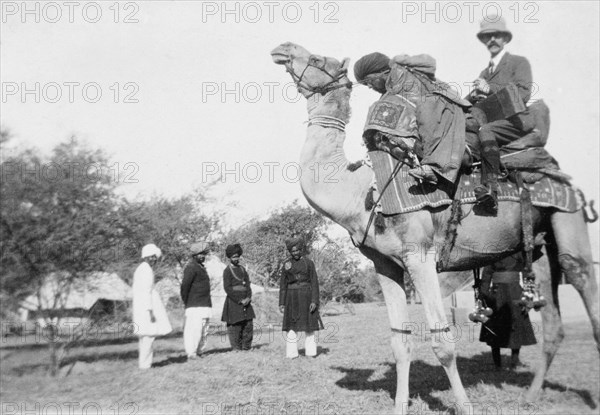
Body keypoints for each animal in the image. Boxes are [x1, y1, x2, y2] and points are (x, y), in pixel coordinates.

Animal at [274, 41, 600, 412]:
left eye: (316, 59)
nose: (283, 49)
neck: (361, 192)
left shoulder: (420, 254)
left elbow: (442, 343)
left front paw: (465, 406)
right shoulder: (384, 263)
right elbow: (399, 342)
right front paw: (400, 405)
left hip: (567, 218)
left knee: (581, 278)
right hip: (541, 246)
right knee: (553, 323)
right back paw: (530, 396)